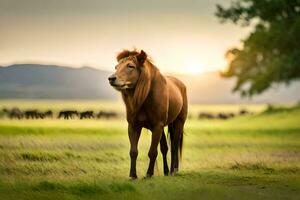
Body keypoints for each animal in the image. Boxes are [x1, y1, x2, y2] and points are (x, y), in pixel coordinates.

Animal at [108, 49, 188, 179]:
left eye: (130, 66)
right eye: (116, 67)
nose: (111, 78)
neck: (146, 97)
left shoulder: (157, 126)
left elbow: (152, 152)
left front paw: (149, 174)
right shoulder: (134, 126)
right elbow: (133, 151)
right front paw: (133, 175)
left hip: (178, 123)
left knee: (174, 147)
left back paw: (173, 171)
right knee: (165, 148)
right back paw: (167, 171)